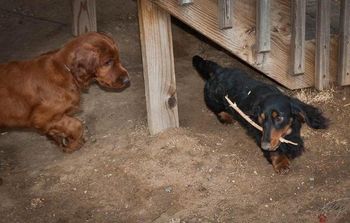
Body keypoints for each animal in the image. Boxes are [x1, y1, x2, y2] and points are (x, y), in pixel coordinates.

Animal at [0, 31, 130, 152]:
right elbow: (77, 125)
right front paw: (72, 145)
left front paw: (60, 140)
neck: (65, 70)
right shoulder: (41, 118)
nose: (127, 80)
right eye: (107, 62)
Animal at [193, 55, 330, 173]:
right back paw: (226, 117)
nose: (264, 146)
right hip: (214, 100)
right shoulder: (260, 133)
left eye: (279, 118)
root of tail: (219, 71)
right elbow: (276, 150)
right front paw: (281, 162)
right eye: (261, 118)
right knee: (216, 109)